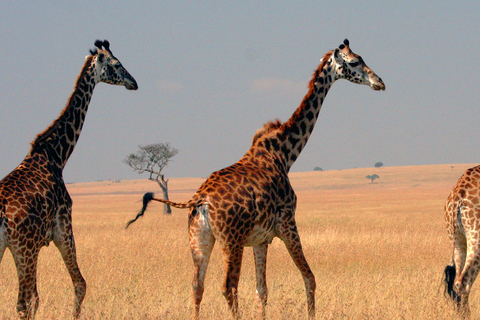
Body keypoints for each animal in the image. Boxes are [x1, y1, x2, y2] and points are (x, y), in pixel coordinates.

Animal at [0, 40, 139, 320]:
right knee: (24, 302)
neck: (56, 155)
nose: (134, 83)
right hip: (24, 249)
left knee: (25, 301)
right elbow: (79, 284)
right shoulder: (63, 226)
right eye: (117, 64)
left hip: (12, 249)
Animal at [125, 38, 384, 320]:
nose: (379, 82)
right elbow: (309, 278)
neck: (284, 153)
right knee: (229, 287)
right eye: (354, 62)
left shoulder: (261, 239)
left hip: (199, 239)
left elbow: (263, 290)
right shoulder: (287, 223)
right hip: (232, 240)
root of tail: (199, 200)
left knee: (197, 285)